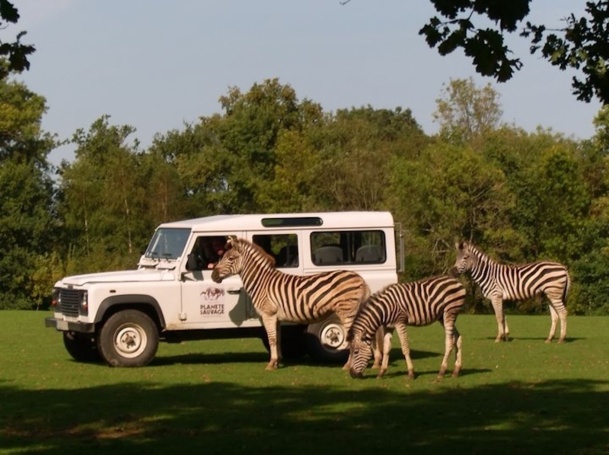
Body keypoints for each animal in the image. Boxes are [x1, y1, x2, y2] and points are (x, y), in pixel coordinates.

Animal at [209, 237, 370, 372]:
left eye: (230, 258)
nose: (213, 276)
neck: (262, 282)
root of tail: (360, 278)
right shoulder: (277, 317)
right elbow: (277, 339)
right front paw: (278, 361)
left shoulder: (268, 314)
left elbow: (271, 339)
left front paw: (271, 364)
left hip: (347, 312)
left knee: (353, 338)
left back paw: (347, 366)